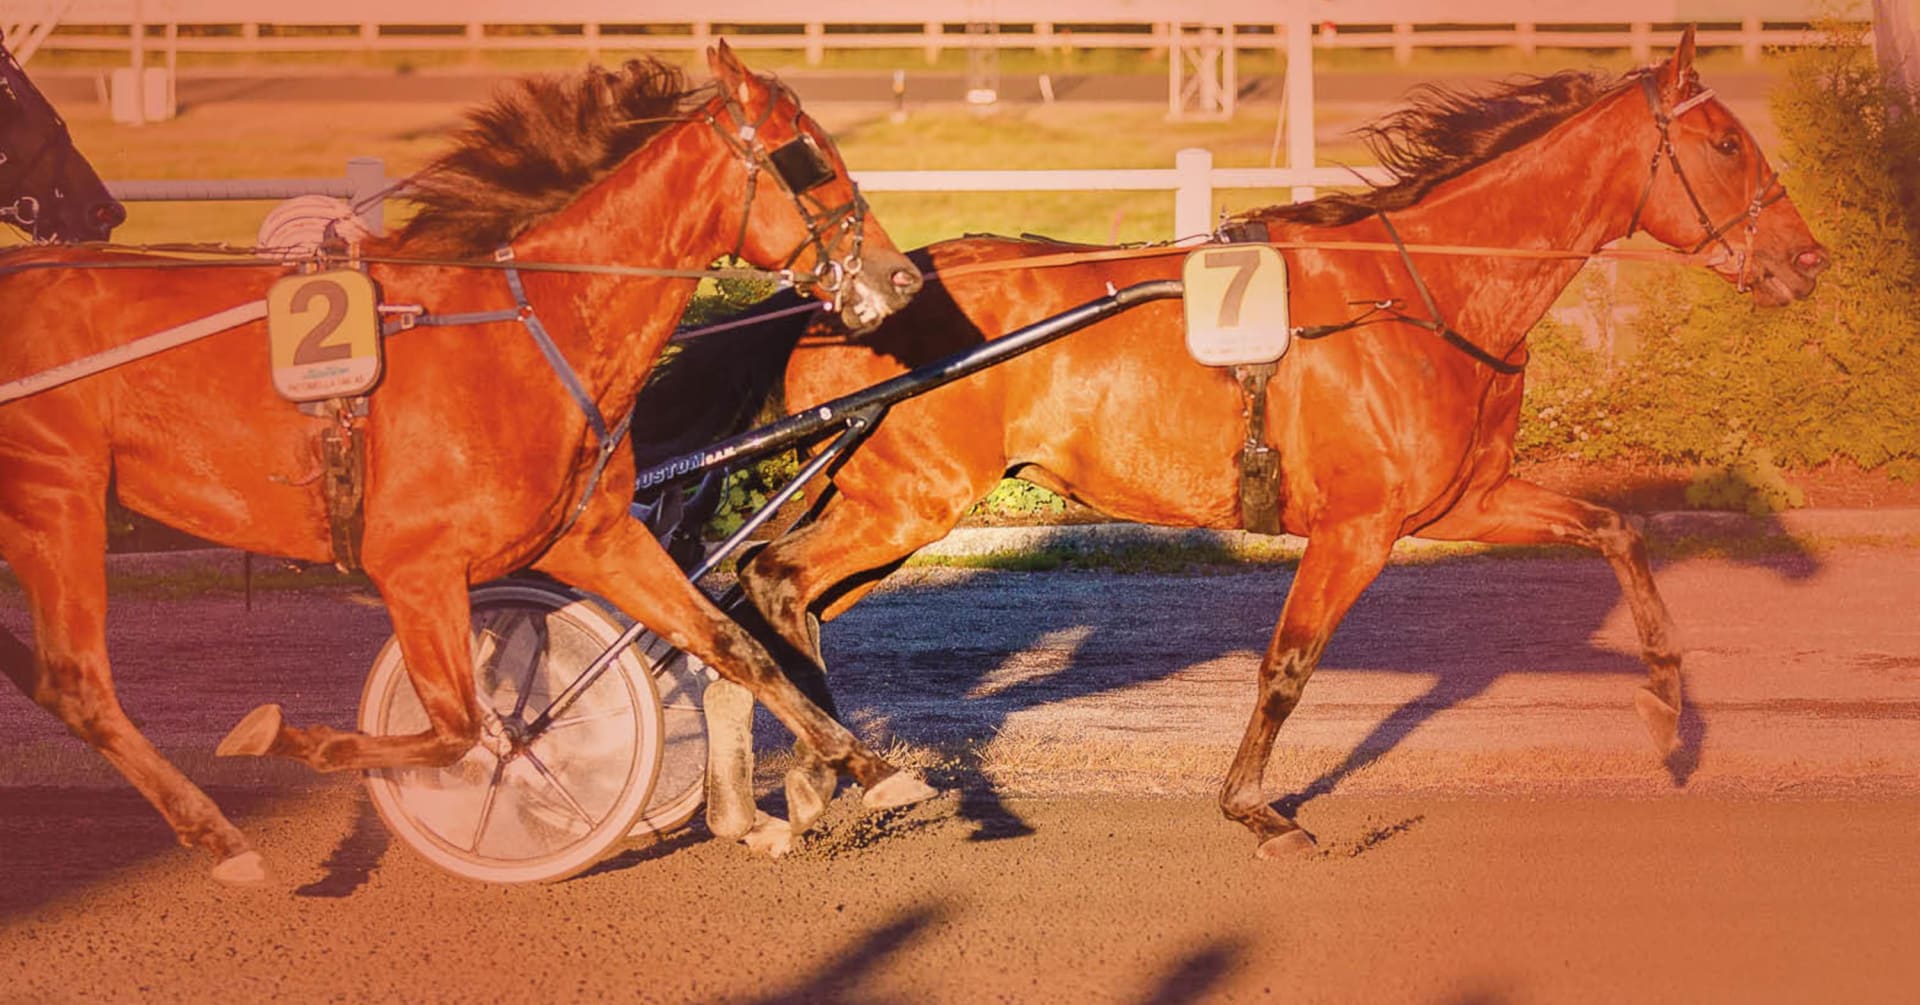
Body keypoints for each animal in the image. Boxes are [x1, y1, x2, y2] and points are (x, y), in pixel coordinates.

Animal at [641, 31, 1827, 857]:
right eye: (1728, 145)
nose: (1810, 259)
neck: (1423, 290)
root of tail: (835, 298)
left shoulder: (1466, 501)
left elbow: (1615, 529)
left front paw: (1668, 713)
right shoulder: (1360, 527)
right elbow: (1288, 665)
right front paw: (1259, 811)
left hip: (888, 504)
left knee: (750, 604)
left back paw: (785, 791)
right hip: (910, 499)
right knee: (768, 581)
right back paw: (830, 773)